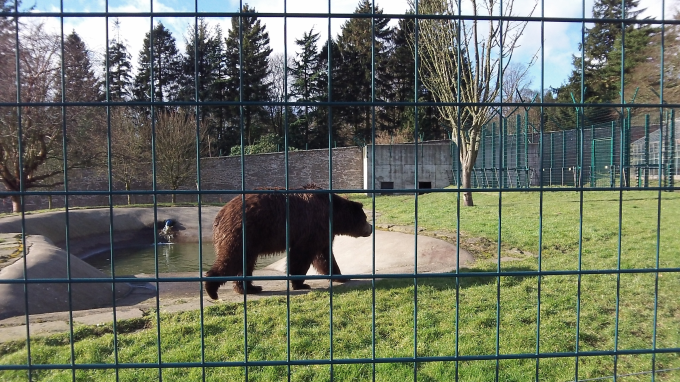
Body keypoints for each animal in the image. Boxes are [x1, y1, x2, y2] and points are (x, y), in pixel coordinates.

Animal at [203, 185, 372, 298]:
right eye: (365, 217)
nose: (370, 228)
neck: (334, 215)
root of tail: (219, 215)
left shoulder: (322, 233)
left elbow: (325, 256)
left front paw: (341, 276)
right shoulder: (313, 226)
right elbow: (303, 255)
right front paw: (301, 283)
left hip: (249, 239)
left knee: (245, 262)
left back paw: (250, 287)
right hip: (243, 232)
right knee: (232, 257)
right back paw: (212, 289)